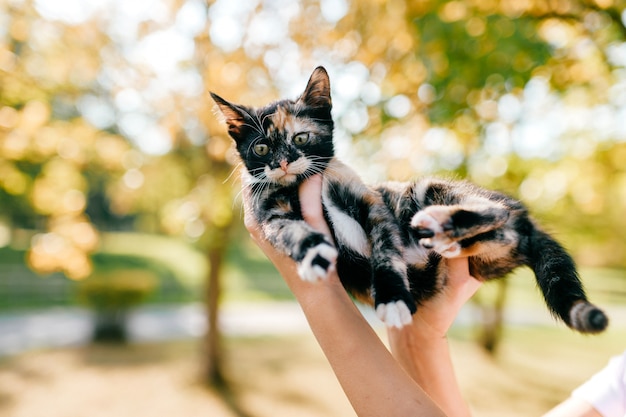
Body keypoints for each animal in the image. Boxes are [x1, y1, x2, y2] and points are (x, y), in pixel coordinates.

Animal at [210, 65, 604, 332]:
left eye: (301, 138)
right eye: (261, 147)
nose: (282, 162)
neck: (302, 185)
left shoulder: (372, 202)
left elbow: (386, 250)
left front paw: (393, 296)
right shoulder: (269, 213)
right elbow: (290, 231)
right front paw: (314, 252)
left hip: (423, 191)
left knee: (498, 212)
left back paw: (445, 222)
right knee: (504, 231)